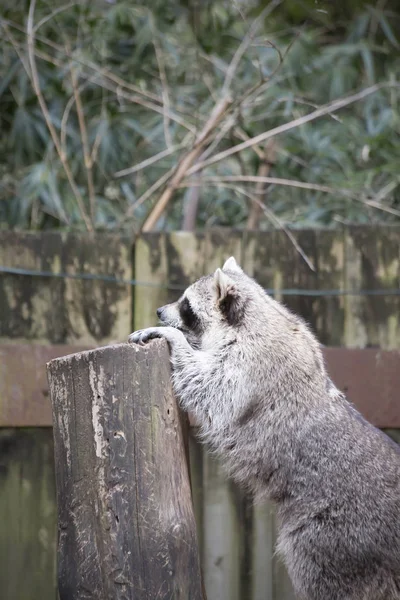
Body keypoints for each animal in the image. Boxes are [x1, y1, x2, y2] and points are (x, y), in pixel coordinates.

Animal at [129, 255, 400, 596]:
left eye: (186, 305)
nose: (159, 311)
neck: (257, 316)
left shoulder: (250, 366)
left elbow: (213, 393)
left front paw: (172, 336)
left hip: (337, 539)